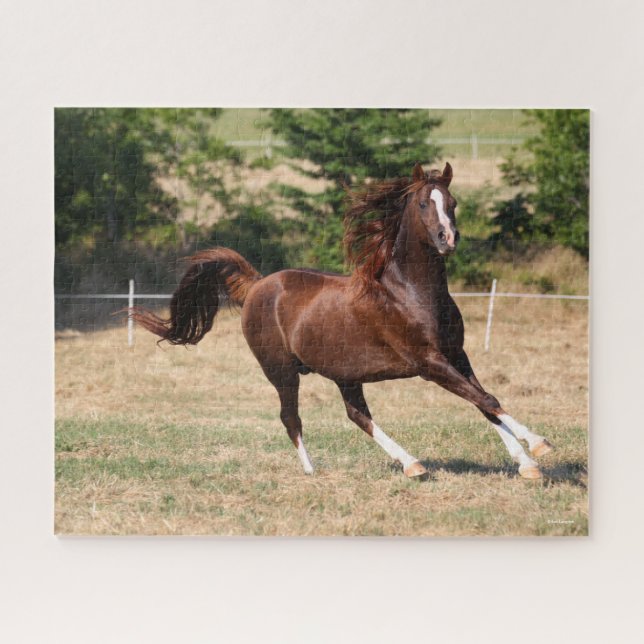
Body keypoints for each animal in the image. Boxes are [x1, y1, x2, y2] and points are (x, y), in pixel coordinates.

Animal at [131, 162, 553, 479]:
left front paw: (527, 463)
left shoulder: (457, 356)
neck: (409, 293)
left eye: (453, 201)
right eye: (422, 203)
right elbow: (486, 398)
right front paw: (540, 446)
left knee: (357, 415)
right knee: (291, 417)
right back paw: (312, 470)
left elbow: (484, 401)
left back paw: (412, 464)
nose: (447, 238)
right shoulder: (429, 363)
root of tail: (256, 286)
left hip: (345, 374)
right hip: (281, 371)